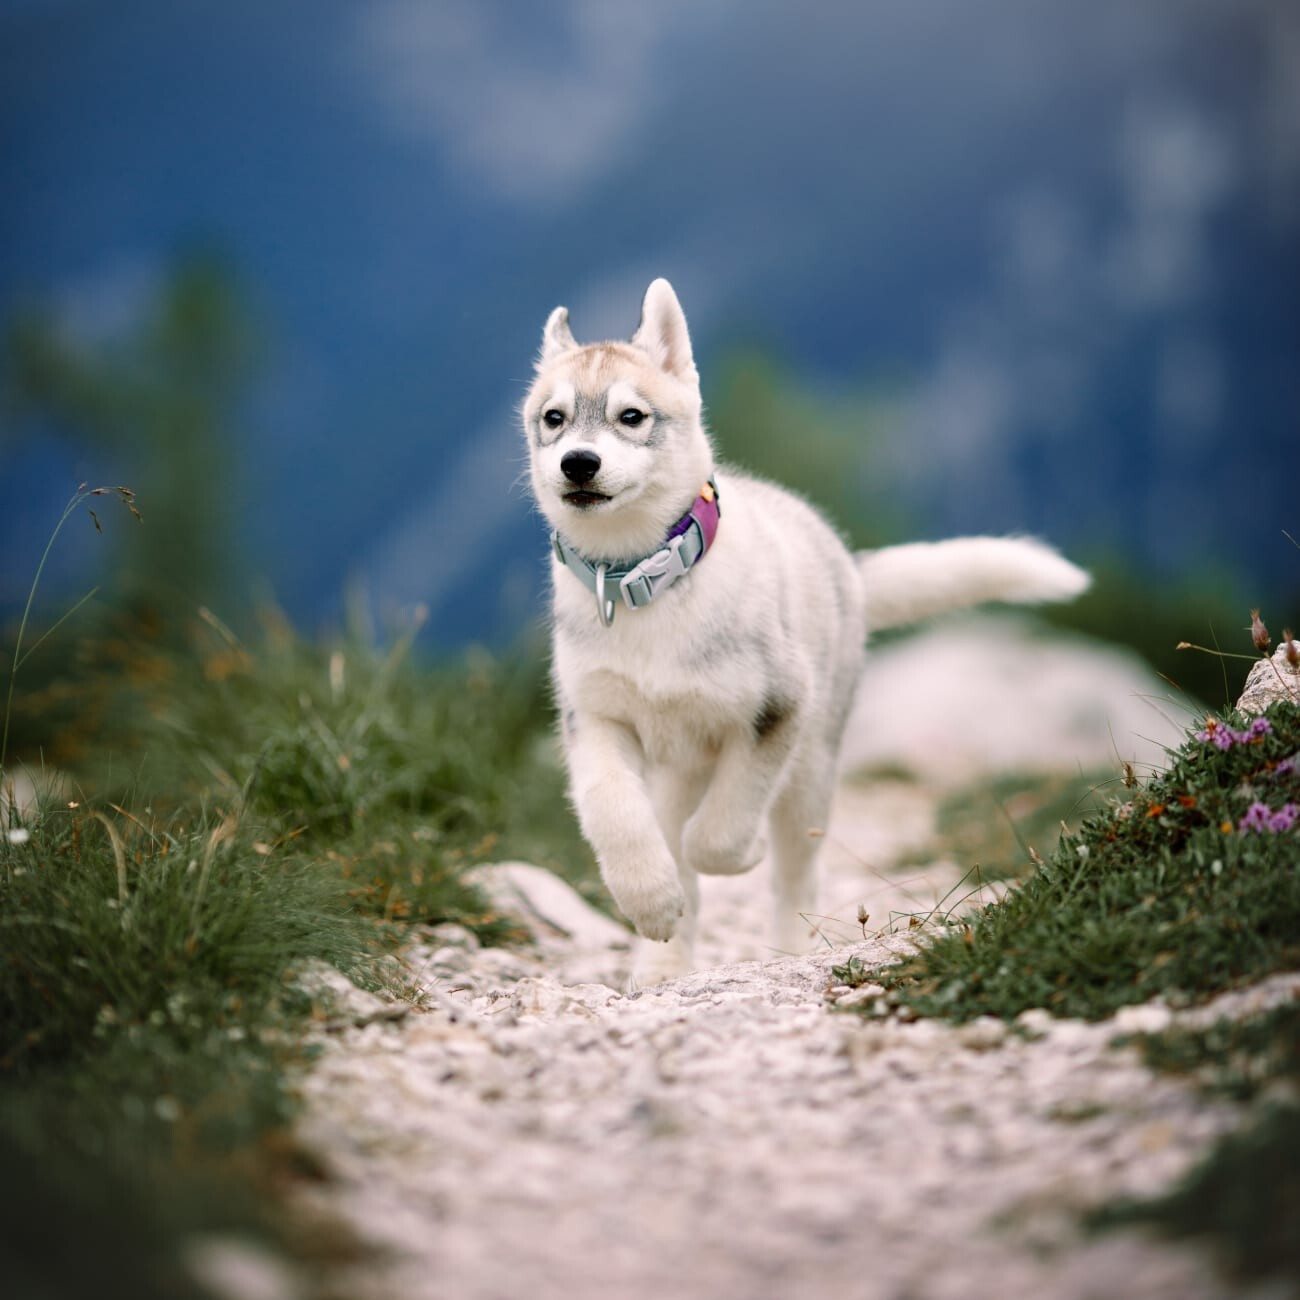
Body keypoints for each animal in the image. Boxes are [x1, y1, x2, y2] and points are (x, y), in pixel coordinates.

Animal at [523, 278, 1088, 986]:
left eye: (632, 416)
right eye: (553, 419)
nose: (578, 463)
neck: (643, 583)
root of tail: (845, 561)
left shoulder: (777, 708)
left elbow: (723, 831)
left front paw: (737, 854)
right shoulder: (595, 718)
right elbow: (614, 812)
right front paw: (650, 902)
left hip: (812, 767)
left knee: (795, 871)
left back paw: (789, 948)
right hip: (681, 768)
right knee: (678, 843)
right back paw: (663, 963)